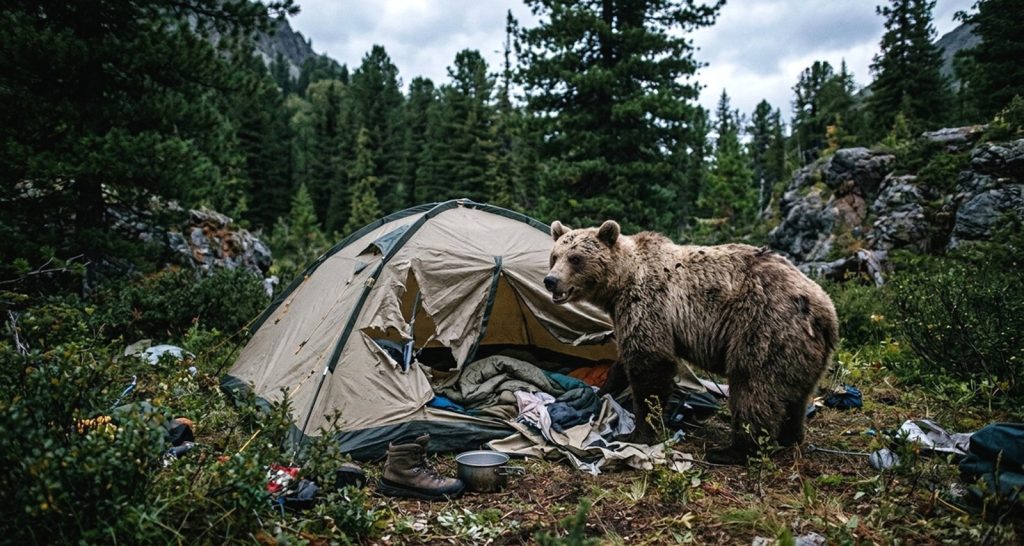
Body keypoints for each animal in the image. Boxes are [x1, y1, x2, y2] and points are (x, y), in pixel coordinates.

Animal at [544, 220, 838, 465]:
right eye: (554, 256)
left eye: (576, 258)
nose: (550, 281)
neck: (620, 283)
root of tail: (824, 310)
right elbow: (624, 360)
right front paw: (605, 388)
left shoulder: (648, 304)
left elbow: (650, 365)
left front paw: (638, 433)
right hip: (801, 349)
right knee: (795, 395)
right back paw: (791, 435)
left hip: (764, 328)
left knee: (753, 388)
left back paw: (733, 451)